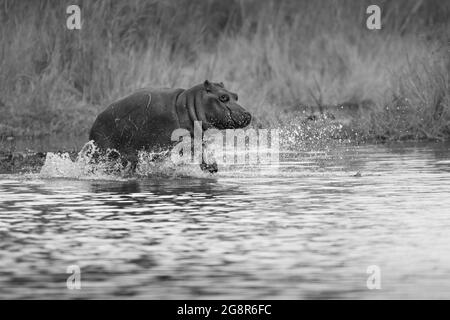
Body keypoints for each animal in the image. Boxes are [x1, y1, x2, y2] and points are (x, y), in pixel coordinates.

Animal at [89, 80, 251, 172]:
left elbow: (202, 148)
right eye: (223, 97)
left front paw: (212, 167)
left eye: (235, 95)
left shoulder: (196, 136)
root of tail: (95, 122)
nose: (248, 114)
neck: (188, 104)